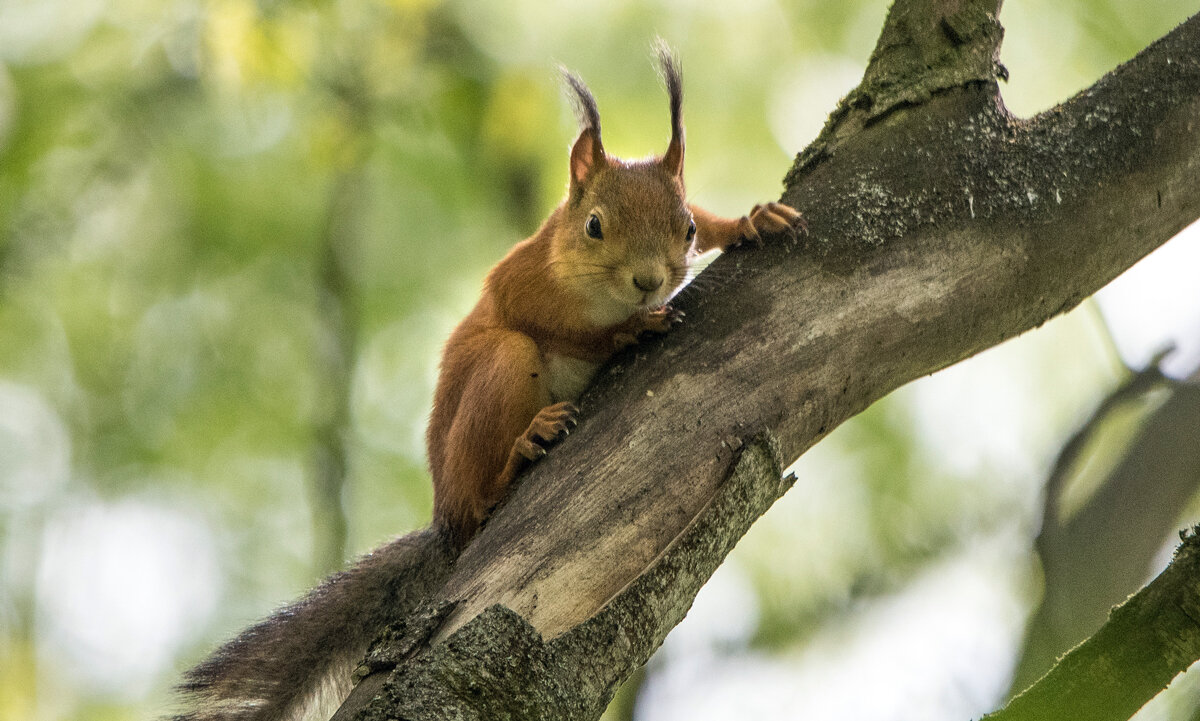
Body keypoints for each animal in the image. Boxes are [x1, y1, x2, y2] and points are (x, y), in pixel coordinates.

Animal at [427, 46, 801, 539]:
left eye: (689, 229)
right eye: (593, 226)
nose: (648, 282)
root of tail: (442, 510)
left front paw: (751, 220)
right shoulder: (519, 281)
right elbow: (565, 331)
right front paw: (631, 328)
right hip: (497, 382)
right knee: (478, 501)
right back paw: (524, 447)